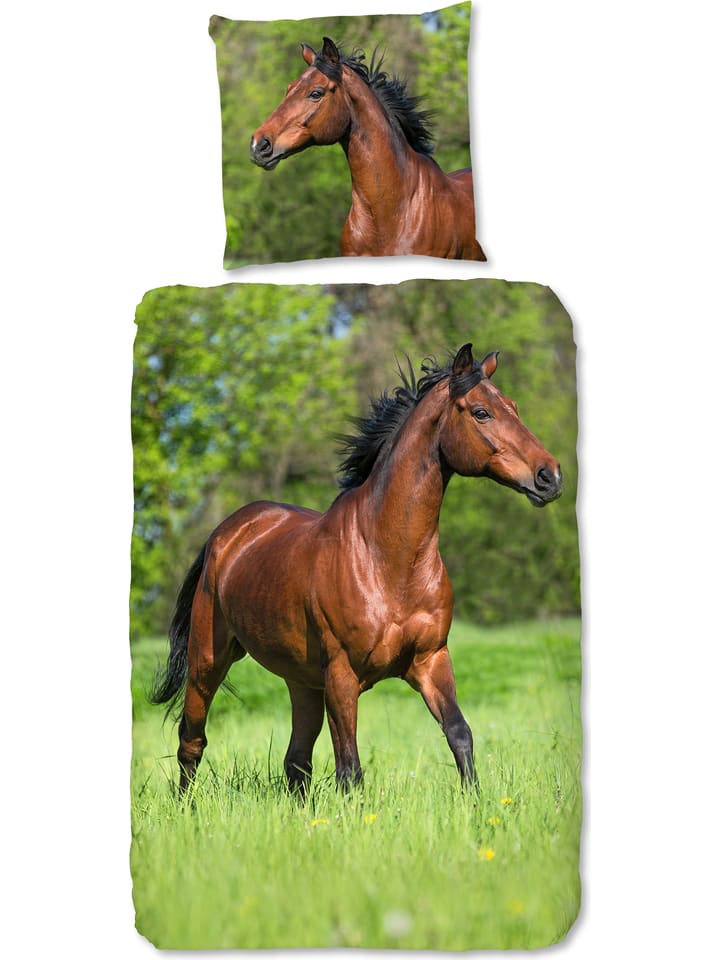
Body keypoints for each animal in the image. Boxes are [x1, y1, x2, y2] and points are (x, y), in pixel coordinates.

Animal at [151, 344, 562, 797]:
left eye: (514, 407)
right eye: (481, 412)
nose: (550, 477)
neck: (387, 561)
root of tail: (226, 534)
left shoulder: (431, 661)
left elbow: (459, 733)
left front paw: (475, 802)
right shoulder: (342, 676)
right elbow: (350, 769)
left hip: (303, 682)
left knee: (296, 761)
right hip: (208, 661)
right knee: (192, 741)